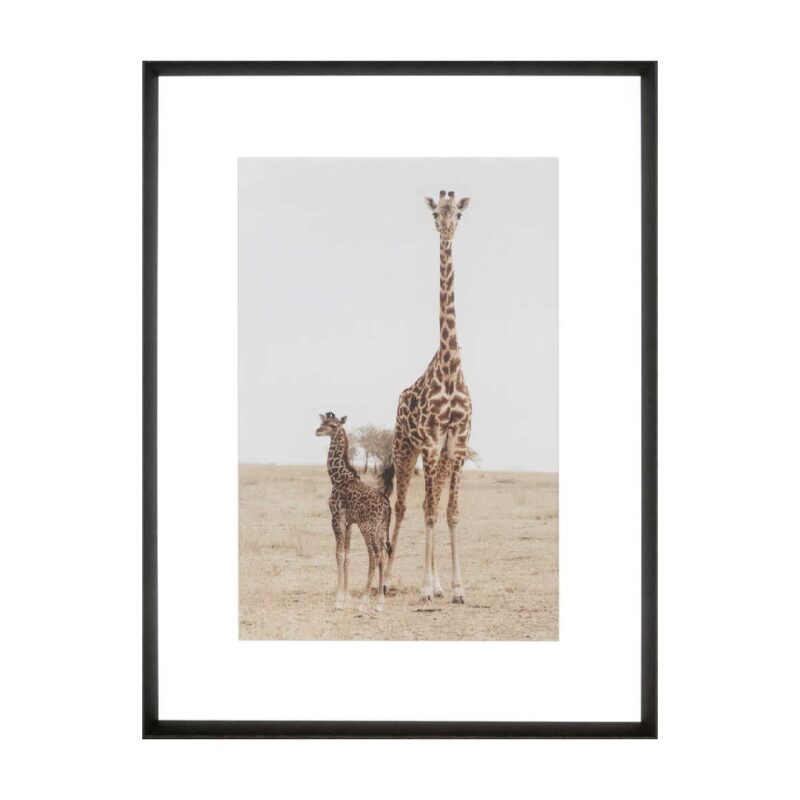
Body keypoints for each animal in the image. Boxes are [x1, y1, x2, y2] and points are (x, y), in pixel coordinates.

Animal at [316, 412, 394, 611]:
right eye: (323, 421)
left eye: (333, 425)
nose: (317, 431)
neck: (337, 477)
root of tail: (387, 505)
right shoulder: (349, 522)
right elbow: (348, 555)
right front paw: (347, 595)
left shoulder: (337, 517)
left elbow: (339, 554)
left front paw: (339, 599)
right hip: (381, 528)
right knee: (382, 554)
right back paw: (380, 601)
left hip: (368, 527)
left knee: (374, 554)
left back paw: (365, 600)